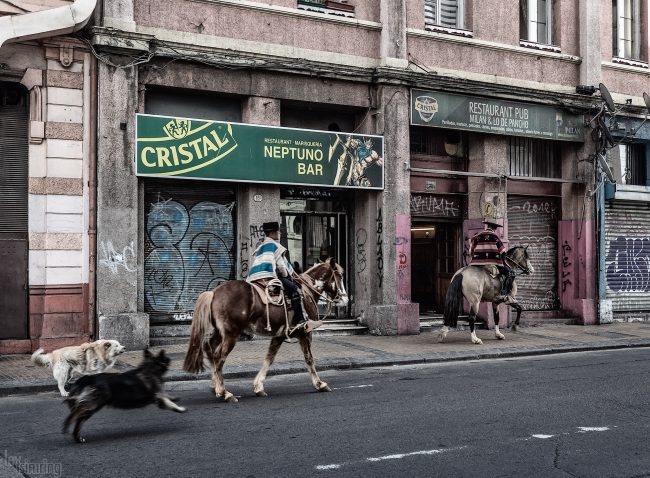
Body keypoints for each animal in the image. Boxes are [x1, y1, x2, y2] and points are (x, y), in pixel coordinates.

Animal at [180, 260, 346, 402]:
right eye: (340, 275)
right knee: (218, 357)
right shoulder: (305, 333)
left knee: (209, 348)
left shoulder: (279, 335)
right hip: (231, 335)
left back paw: (215, 387)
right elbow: (309, 358)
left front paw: (258, 386)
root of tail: (213, 293)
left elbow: (269, 358)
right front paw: (320, 384)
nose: (345, 299)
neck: (307, 292)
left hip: (219, 332)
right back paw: (225, 393)